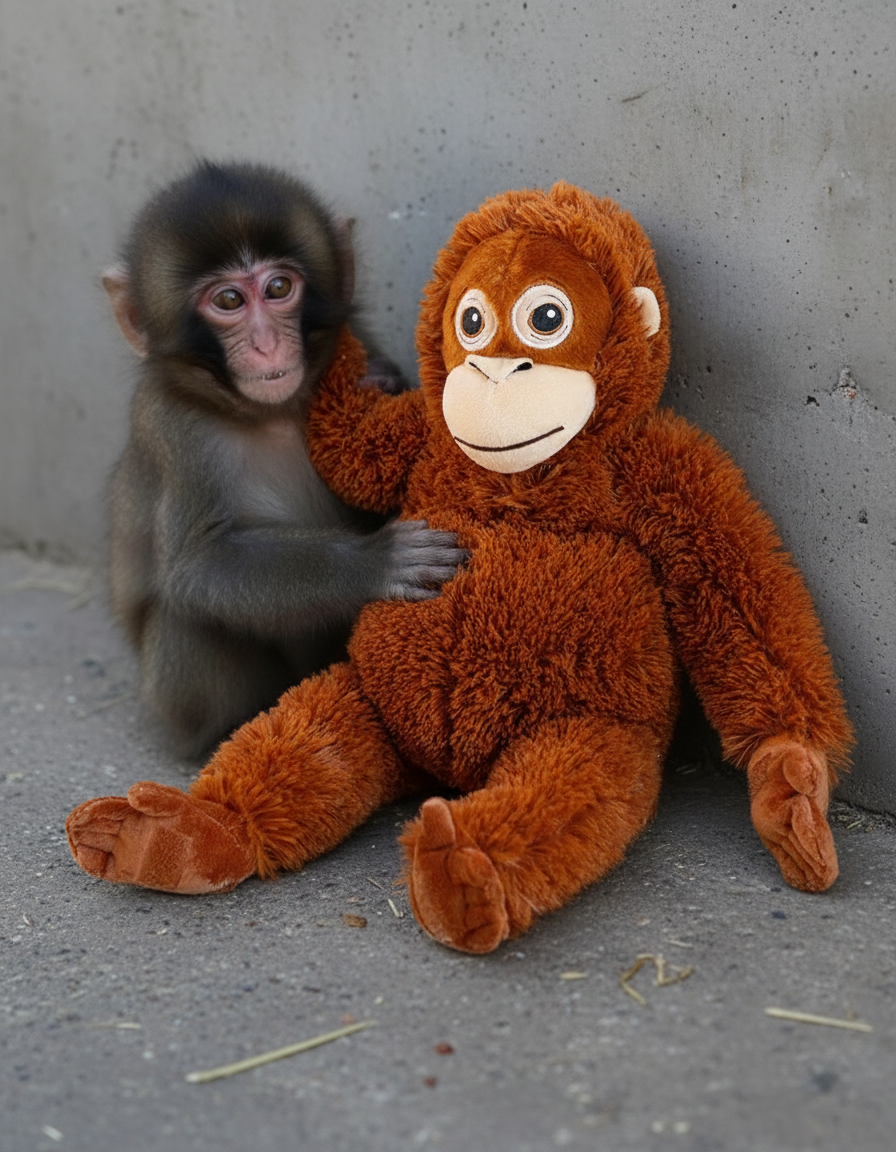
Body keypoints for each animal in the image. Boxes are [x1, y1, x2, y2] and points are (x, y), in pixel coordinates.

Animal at [102, 160, 465, 758]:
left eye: (277, 288)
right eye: (228, 301)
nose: (267, 344)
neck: (264, 414)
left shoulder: (356, 343)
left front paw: (386, 381)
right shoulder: (173, 429)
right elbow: (199, 564)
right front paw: (377, 561)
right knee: (187, 620)